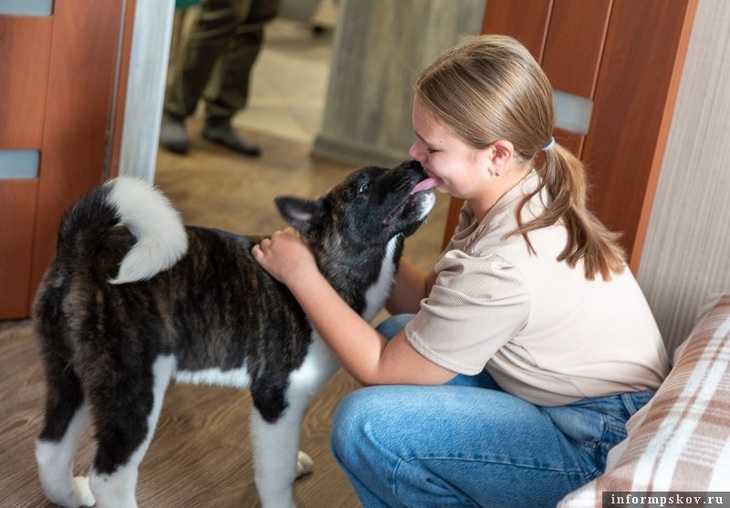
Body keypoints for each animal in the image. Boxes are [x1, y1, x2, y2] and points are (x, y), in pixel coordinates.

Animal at [32, 160, 432, 508]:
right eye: (362, 188)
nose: (416, 163)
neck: (323, 268)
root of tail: (80, 248)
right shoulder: (276, 398)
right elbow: (275, 474)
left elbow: (284, 455)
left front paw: (296, 462)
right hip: (133, 391)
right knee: (109, 477)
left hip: (73, 374)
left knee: (51, 446)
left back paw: (70, 495)